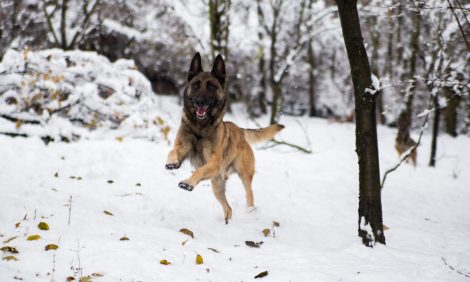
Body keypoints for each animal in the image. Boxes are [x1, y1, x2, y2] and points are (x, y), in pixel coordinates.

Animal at [165, 53, 282, 223]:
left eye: (211, 87)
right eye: (196, 85)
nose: (200, 102)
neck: (200, 128)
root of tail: (240, 130)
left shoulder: (213, 163)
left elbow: (198, 171)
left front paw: (188, 183)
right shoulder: (182, 147)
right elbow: (172, 152)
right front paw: (172, 162)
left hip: (243, 175)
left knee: (249, 194)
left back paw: (250, 211)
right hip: (217, 185)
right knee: (228, 208)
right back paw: (227, 223)